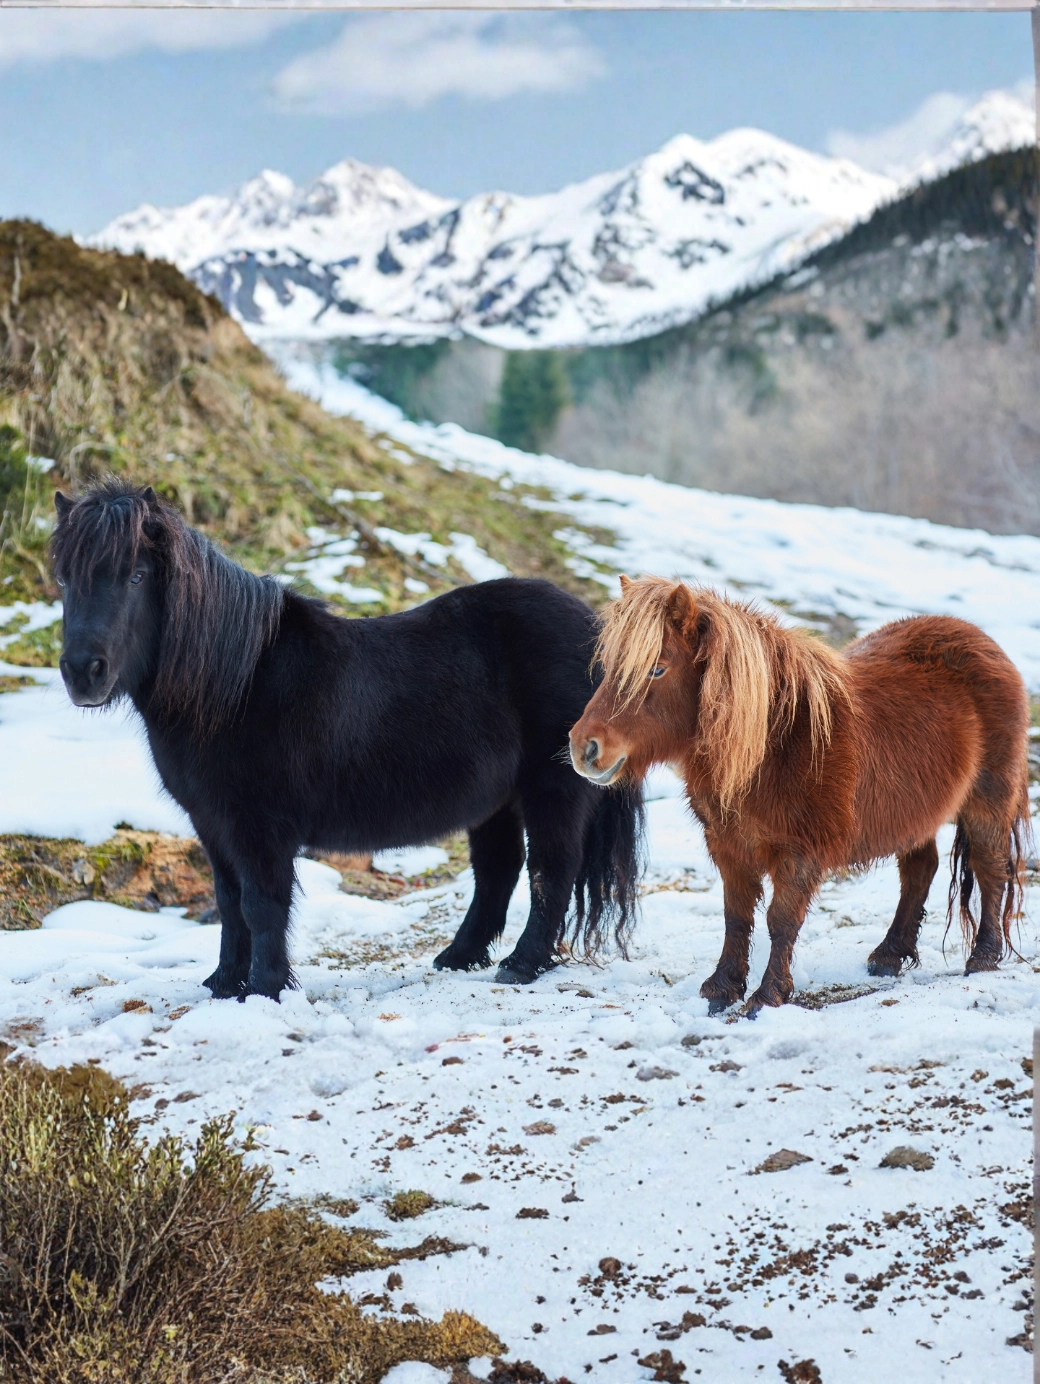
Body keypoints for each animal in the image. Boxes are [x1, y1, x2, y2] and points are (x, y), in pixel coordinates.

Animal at [52, 481, 643, 1001]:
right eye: (64, 580)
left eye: (136, 576)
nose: (83, 672)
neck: (236, 685)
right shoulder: (213, 825)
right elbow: (229, 903)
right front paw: (223, 985)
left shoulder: (259, 828)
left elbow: (261, 906)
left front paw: (264, 990)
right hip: (495, 802)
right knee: (499, 871)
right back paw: (460, 957)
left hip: (552, 791)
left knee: (551, 870)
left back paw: (522, 964)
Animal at [569, 575, 1030, 1016]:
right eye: (609, 665)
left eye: (657, 669)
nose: (583, 748)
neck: (777, 744)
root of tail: (981, 640)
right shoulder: (728, 847)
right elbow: (736, 916)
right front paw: (721, 989)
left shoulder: (798, 854)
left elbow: (781, 920)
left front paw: (767, 995)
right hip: (916, 814)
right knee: (920, 870)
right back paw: (888, 956)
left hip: (987, 802)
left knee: (990, 869)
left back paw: (984, 957)